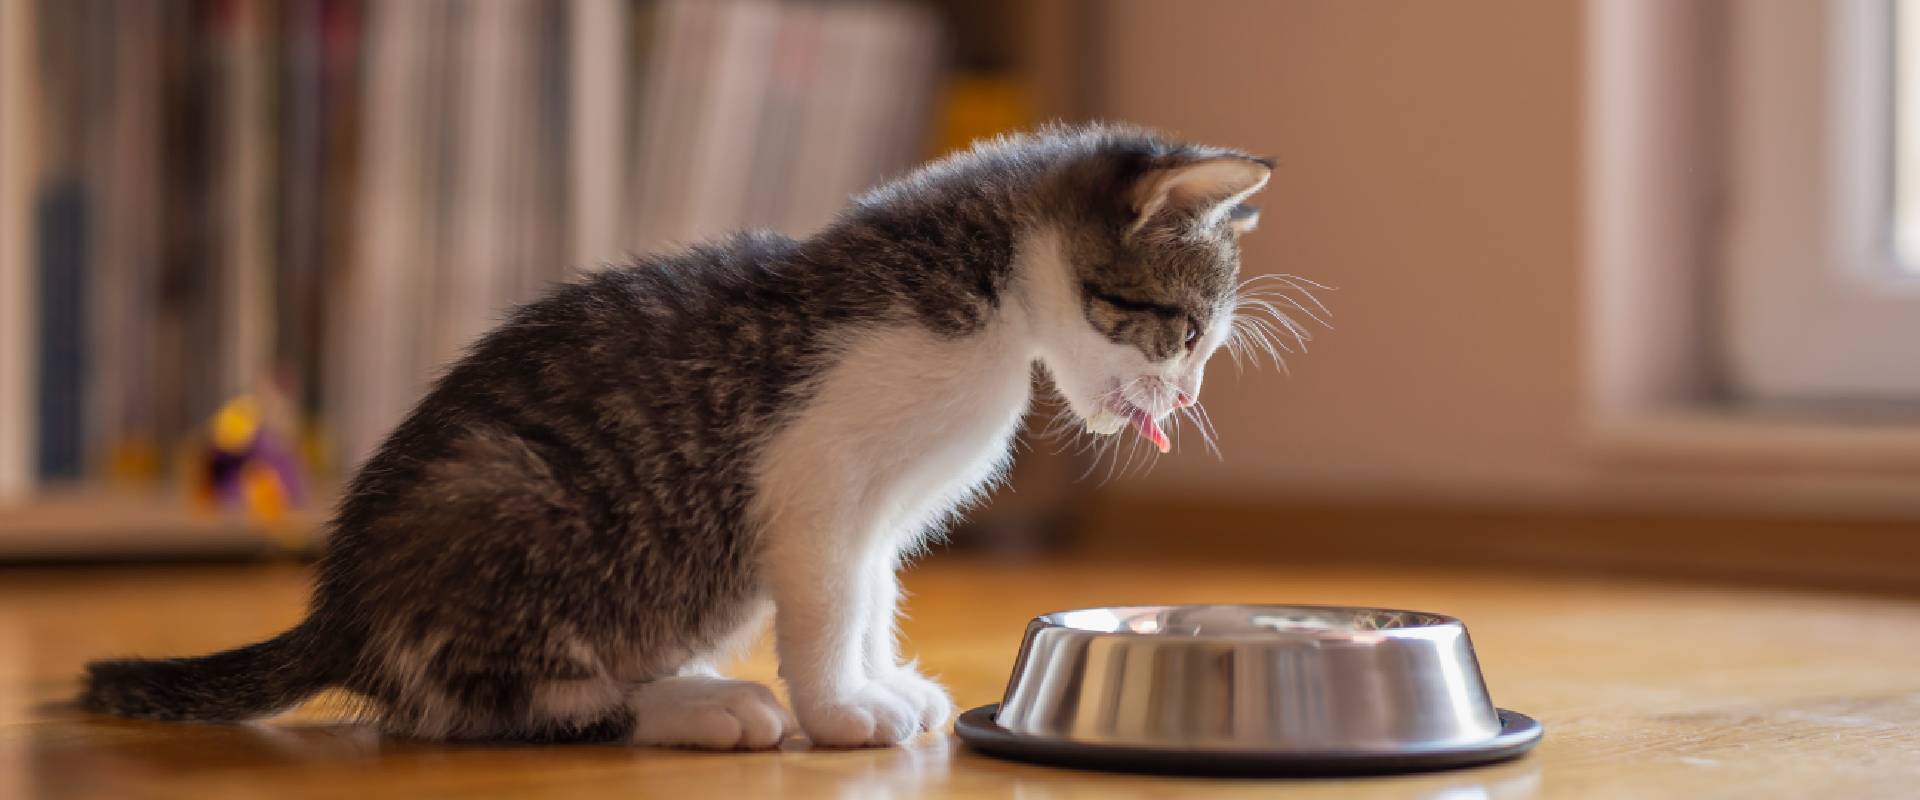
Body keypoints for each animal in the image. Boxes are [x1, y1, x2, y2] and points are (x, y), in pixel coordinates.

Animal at [82, 121, 1297, 744]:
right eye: (1186, 331)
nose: (1185, 401)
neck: (988, 293)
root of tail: (340, 609)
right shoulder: (815, 477)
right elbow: (828, 600)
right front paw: (840, 709)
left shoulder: (878, 511)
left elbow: (871, 592)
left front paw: (880, 681)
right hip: (507, 494)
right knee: (483, 703)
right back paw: (696, 703)